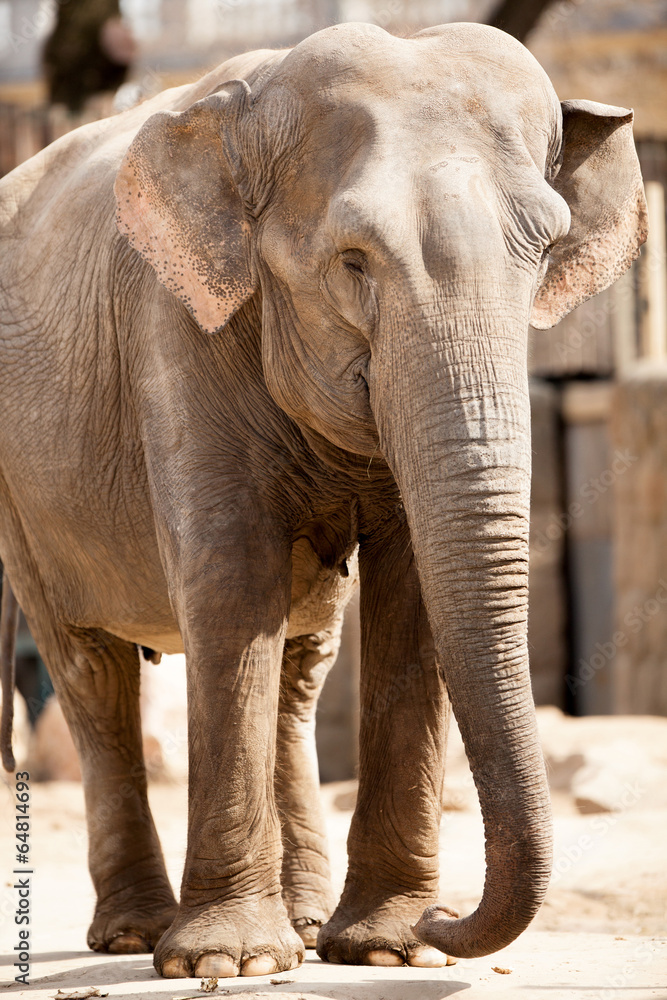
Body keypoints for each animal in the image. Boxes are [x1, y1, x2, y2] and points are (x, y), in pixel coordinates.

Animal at [0, 20, 646, 980]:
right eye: (351, 261)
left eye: (541, 253)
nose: (446, 921)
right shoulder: (174, 329)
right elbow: (230, 579)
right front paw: (226, 964)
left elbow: (411, 593)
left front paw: (387, 951)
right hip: (21, 486)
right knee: (89, 666)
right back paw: (140, 936)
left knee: (299, 662)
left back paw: (304, 926)